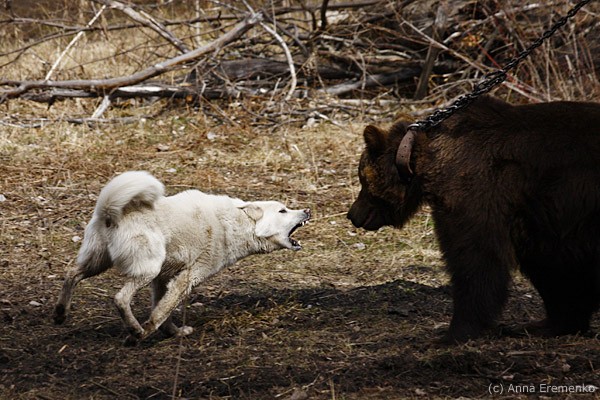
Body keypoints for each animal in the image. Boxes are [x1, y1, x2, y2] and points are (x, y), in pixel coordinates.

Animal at [54, 171, 311, 345]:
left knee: (71, 273)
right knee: (119, 298)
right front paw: (143, 334)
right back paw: (135, 330)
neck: (235, 223)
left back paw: (60, 313)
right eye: (283, 210)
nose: (308, 210)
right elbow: (160, 313)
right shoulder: (186, 278)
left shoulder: (163, 280)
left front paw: (175, 333)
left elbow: (163, 312)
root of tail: (109, 211)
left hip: (99, 263)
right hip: (147, 269)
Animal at [347, 95, 600, 343]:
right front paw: (552, 322)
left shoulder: (475, 192)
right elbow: (554, 267)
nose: (353, 214)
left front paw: (454, 331)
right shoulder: (541, 217)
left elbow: (475, 257)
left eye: (361, 178)